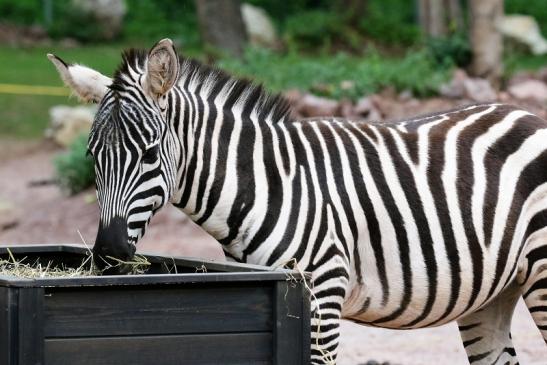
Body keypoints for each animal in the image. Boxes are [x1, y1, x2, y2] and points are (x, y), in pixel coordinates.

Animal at [49, 38, 544, 362]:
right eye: (92, 156)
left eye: (150, 154)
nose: (110, 254)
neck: (266, 185)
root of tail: (527, 114)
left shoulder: (322, 296)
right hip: (493, 293)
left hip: (541, 276)